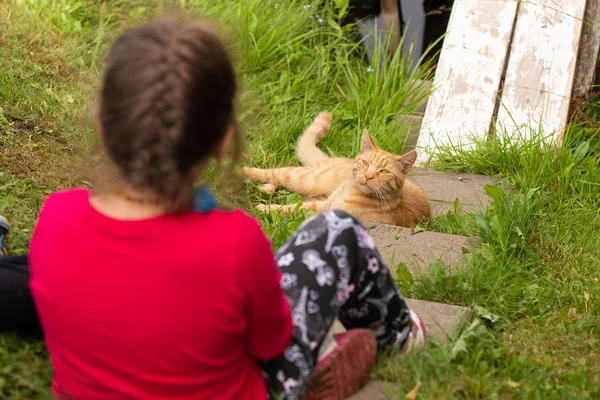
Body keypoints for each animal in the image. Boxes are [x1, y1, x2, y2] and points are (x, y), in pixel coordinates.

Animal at [244, 111, 432, 228]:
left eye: (384, 172)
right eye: (365, 163)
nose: (368, 176)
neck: (350, 191)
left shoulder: (322, 210)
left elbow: (293, 208)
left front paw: (265, 209)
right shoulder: (323, 204)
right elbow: (292, 206)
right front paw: (265, 208)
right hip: (307, 179)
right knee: (273, 173)